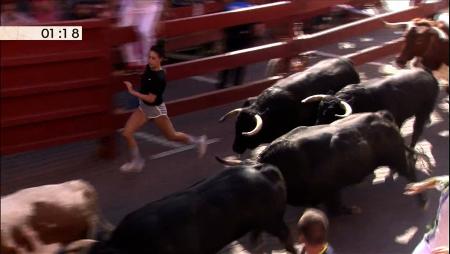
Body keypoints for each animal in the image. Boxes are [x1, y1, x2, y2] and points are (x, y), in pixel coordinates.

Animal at [218, 112, 426, 213]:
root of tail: (382, 117)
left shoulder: (330, 191)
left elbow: (335, 207)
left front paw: (350, 210)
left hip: (396, 157)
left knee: (409, 172)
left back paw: (422, 201)